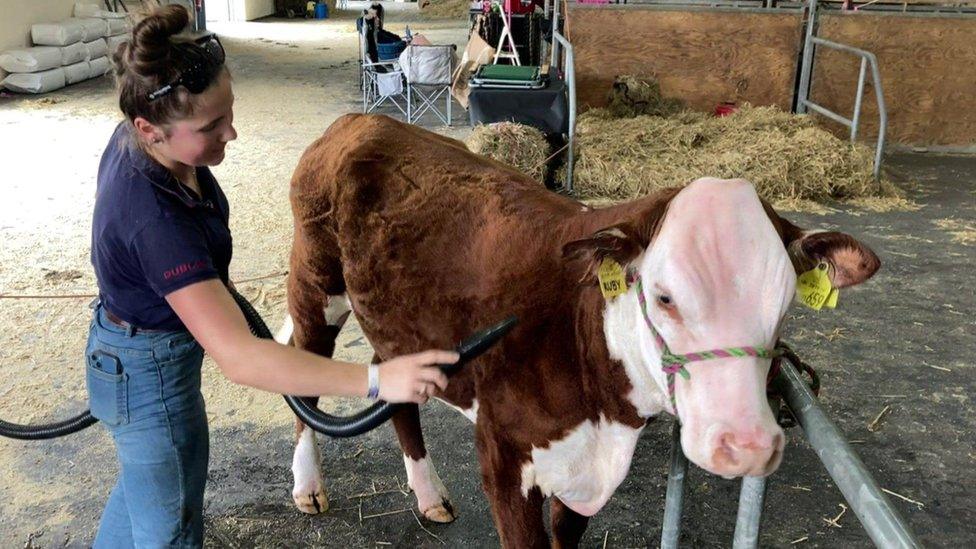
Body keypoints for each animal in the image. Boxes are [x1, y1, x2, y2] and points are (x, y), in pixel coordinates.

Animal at [280, 113, 876, 544]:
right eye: (665, 296)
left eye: (784, 305)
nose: (747, 445)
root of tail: (360, 121)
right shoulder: (502, 455)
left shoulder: (584, 474)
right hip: (314, 284)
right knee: (303, 372)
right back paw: (308, 486)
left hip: (395, 323)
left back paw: (429, 494)